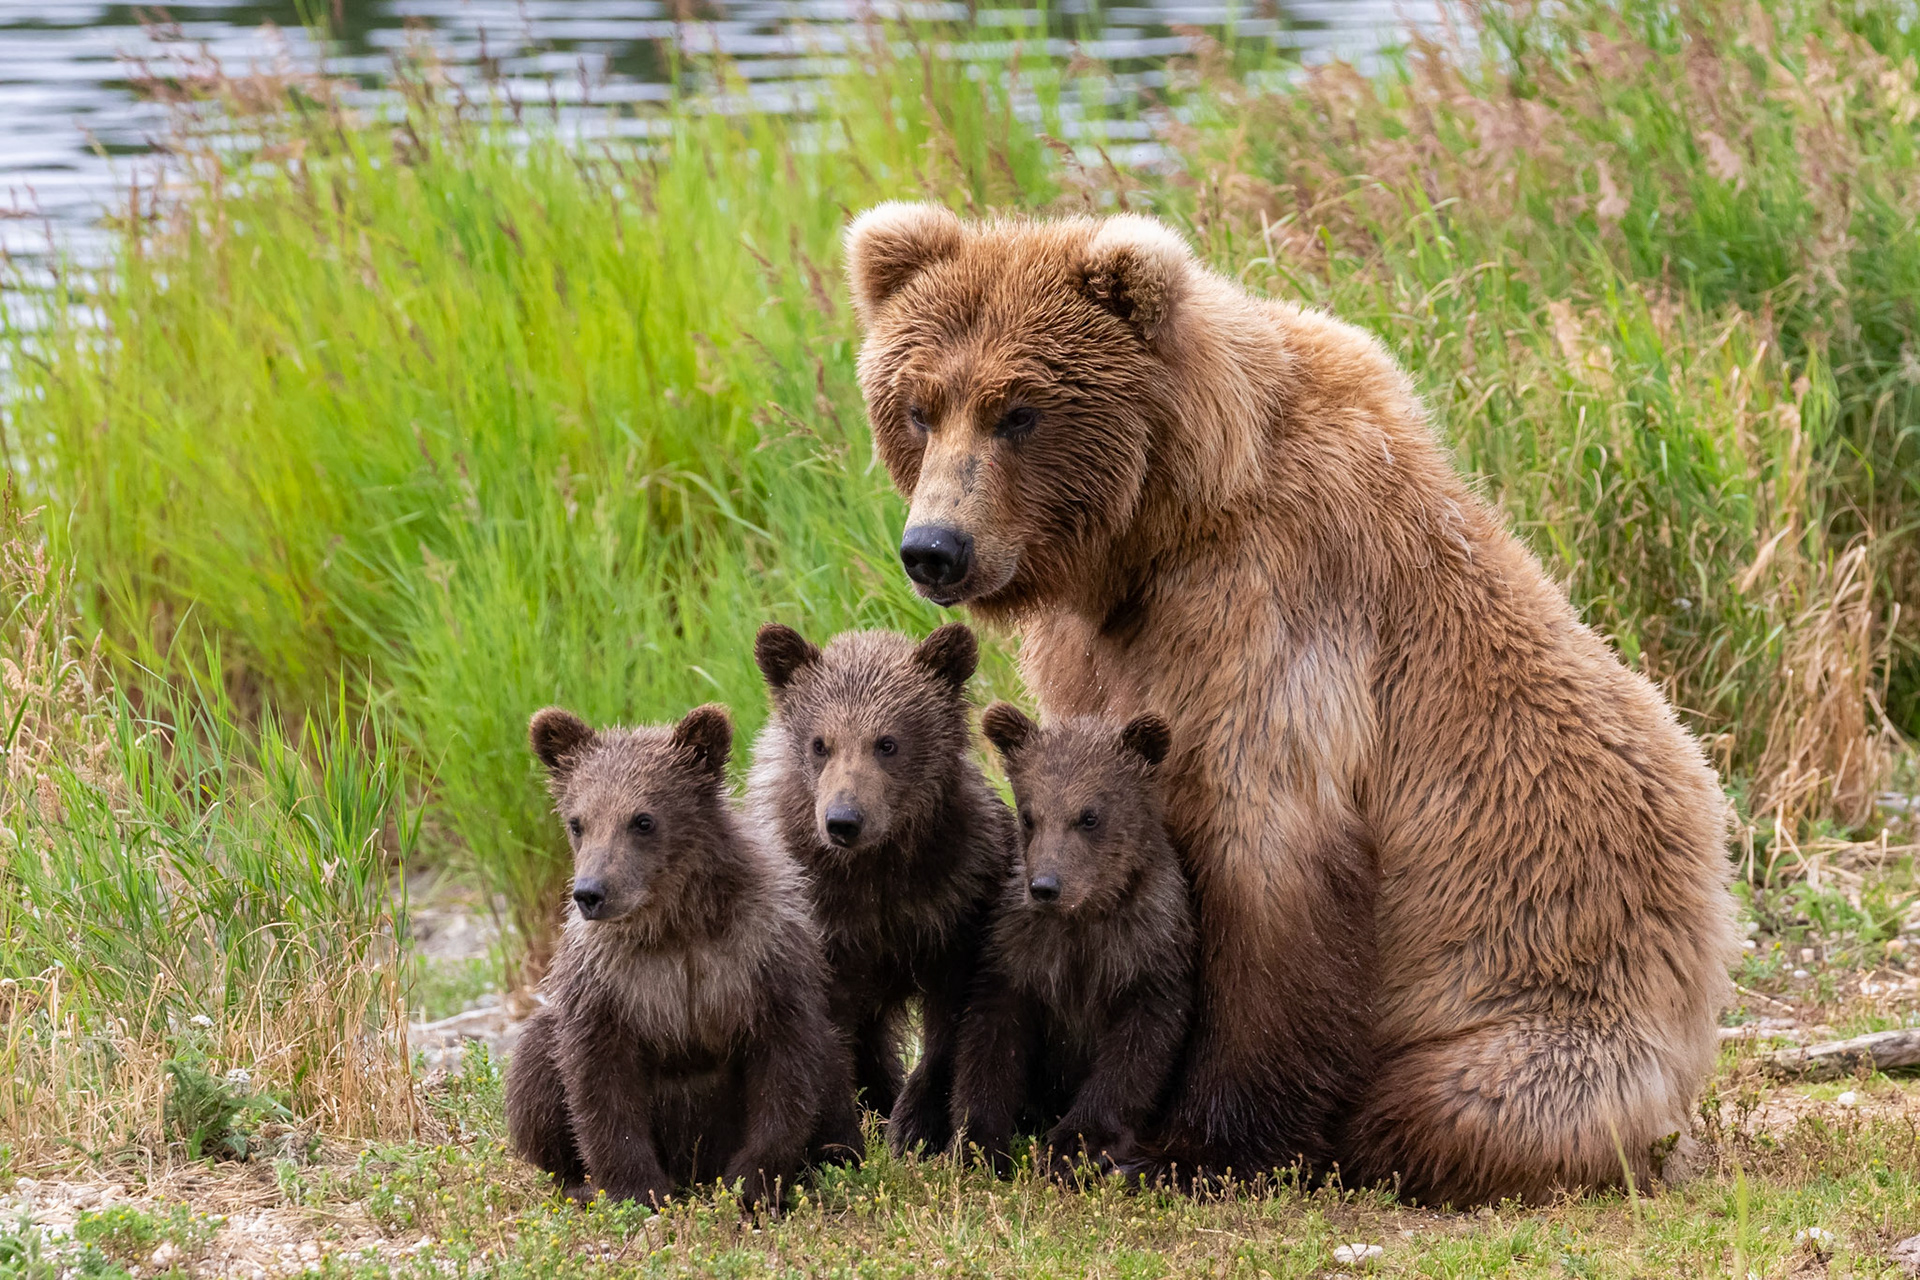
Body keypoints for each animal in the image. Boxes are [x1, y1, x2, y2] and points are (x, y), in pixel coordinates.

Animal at [505, 703, 861, 1210]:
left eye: (642, 820)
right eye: (577, 822)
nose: (591, 893)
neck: (676, 923)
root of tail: (694, 1170)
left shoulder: (763, 956)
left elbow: (786, 1069)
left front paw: (752, 1185)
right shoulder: (607, 983)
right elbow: (599, 1083)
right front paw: (637, 1190)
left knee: (830, 1063)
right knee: (536, 1056)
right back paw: (578, 1183)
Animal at [748, 622, 1015, 1156]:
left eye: (887, 743)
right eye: (820, 743)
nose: (843, 820)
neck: (875, 870)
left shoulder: (954, 897)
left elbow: (951, 1018)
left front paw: (915, 1127)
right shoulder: (825, 921)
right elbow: (825, 1033)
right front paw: (838, 1140)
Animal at [951, 703, 1195, 1180]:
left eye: (1089, 815)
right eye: (1029, 814)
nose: (1045, 886)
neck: (1083, 920)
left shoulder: (1148, 954)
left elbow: (1135, 1054)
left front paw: (1075, 1144)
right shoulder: (1017, 952)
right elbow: (989, 1042)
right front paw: (978, 1143)